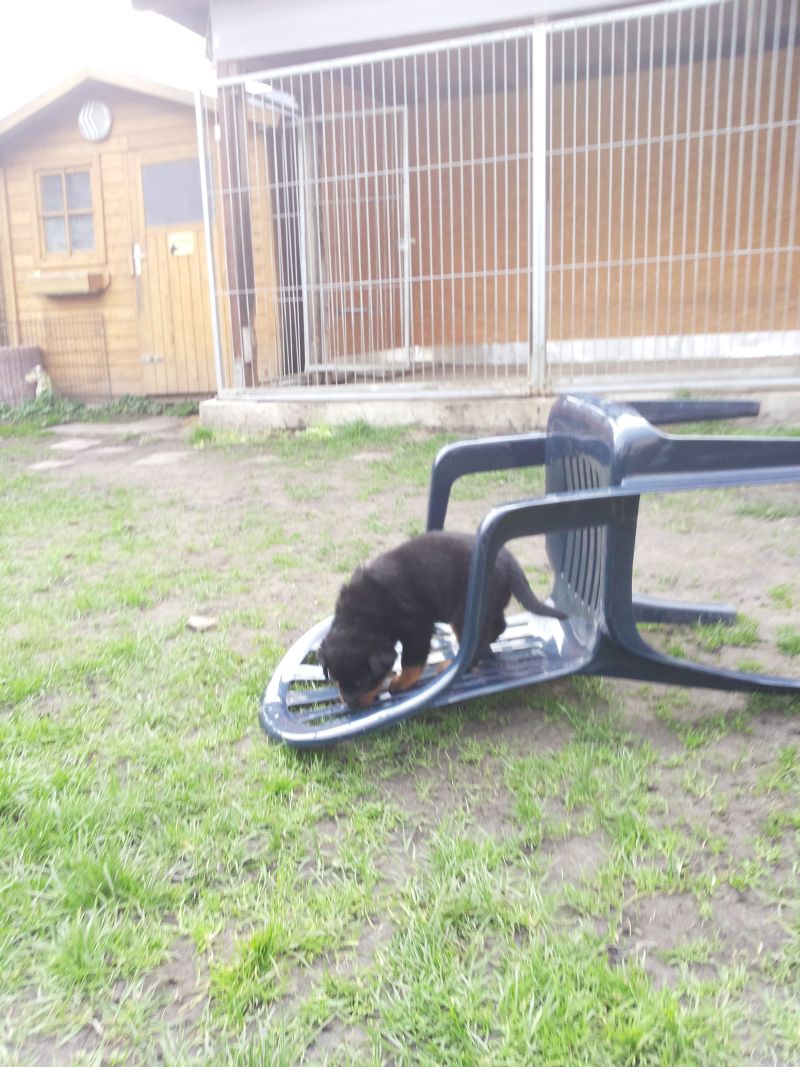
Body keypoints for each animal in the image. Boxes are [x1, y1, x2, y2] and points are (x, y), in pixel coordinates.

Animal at [317, 531, 566, 709]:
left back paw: (450, 665)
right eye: (336, 680)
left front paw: (401, 682)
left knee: (478, 648)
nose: (350, 704)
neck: (362, 616)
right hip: (488, 604)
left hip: (463, 613)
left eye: (361, 681)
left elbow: (411, 661)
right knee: (497, 626)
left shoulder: (417, 629)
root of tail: (509, 561)